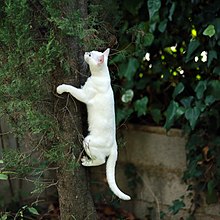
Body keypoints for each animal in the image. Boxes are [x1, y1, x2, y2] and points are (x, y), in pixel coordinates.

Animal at [56, 48, 131, 201]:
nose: (85, 52)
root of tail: (115, 145)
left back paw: (87, 161)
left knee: (101, 160)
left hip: (88, 141)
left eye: (90, 55)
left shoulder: (83, 95)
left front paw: (61, 88)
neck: (100, 75)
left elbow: (71, 88)